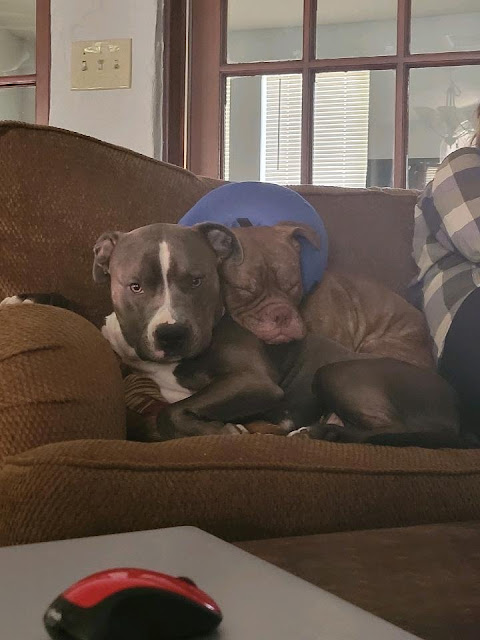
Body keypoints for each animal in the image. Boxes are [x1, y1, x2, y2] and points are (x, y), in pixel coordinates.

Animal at [91, 221, 459, 446]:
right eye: (135, 286)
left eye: (196, 280)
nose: (172, 334)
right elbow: (148, 418)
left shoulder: (254, 381)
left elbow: (170, 412)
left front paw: (220, 430)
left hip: (337, 372)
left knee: (393, 430)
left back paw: (319, 432)